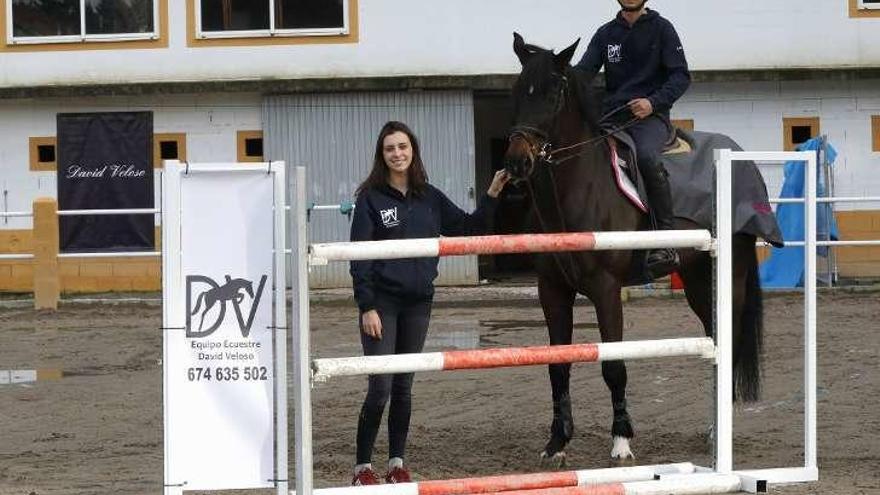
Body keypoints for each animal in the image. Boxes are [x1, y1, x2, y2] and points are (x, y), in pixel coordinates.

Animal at [502, 34, 764, 464]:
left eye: (554, 93)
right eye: (517, 90)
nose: (517, 162)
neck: (579, 187)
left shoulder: (606, 289)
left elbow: (613, 366)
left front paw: (622, 441)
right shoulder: (552, 289)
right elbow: (558, 365)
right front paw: (557, 442)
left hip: (731, 277)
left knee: (728, 339)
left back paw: (717, 430)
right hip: (696, 280)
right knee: (713, 337)